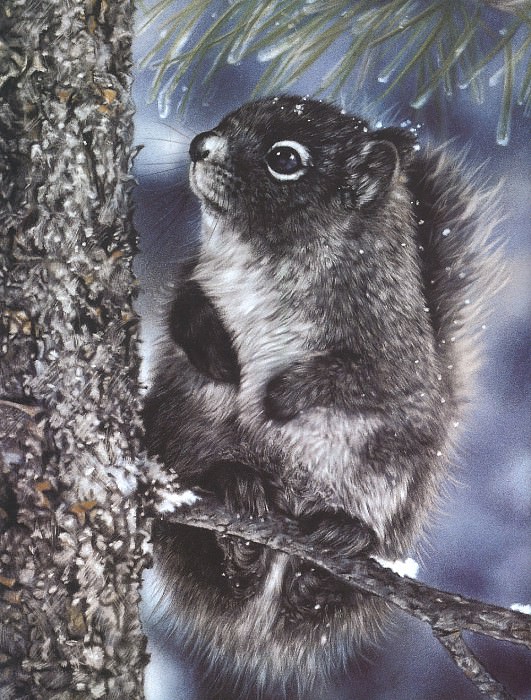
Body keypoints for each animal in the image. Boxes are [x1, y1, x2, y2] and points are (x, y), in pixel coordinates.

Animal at [143, 95, 503, 699]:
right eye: (231, 117)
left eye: (285, 158)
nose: (199, 145)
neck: (262, 262)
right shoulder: (193, 280)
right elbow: (182, 313)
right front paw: (220, 356)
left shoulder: (395, 349)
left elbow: (360, 379)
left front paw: (281, 397)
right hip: (182, 433)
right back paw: (238, 504)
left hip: (387, 482)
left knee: (329, 576)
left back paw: (332, 550)